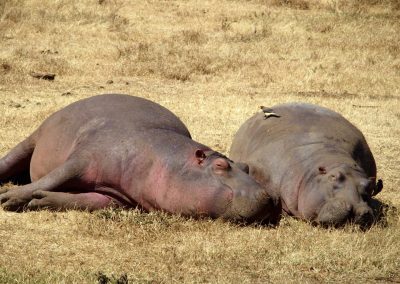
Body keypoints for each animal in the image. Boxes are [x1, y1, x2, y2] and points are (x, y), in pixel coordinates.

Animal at [0, 93, 282, 224]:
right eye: (221, 165)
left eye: (245, 166)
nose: (269, 197)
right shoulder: (83, 157)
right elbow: (52, 177)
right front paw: (8, 199)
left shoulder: (117, 196)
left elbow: (87, 201)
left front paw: (39, 201)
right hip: (35, 137)